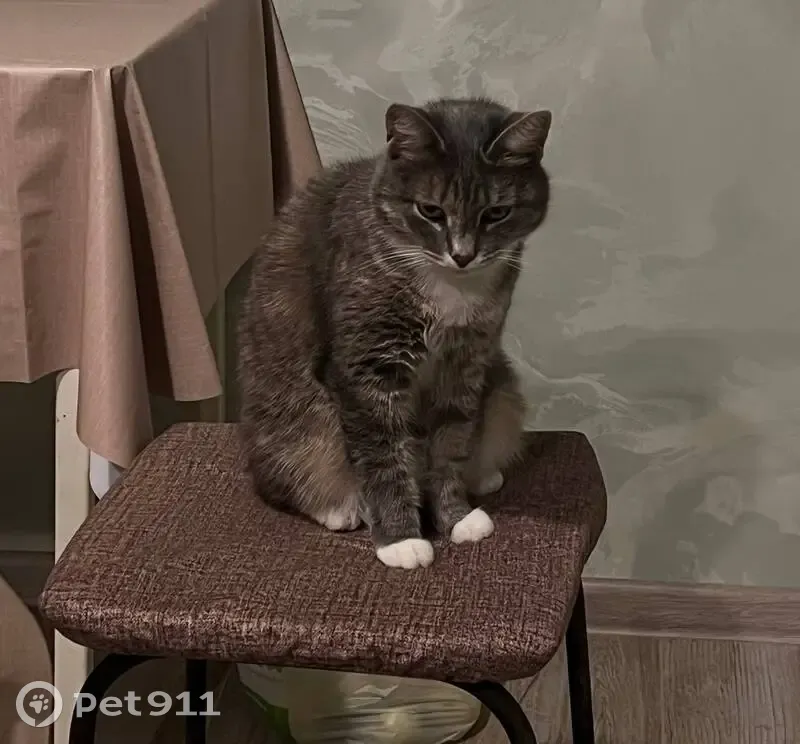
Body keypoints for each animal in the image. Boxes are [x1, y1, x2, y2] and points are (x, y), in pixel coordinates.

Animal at [238, 96, 551, 569]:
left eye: (497, 213)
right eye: (431, 211)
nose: (463, 255)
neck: (449, 287)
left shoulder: (467, 361)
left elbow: (452, 441)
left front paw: (456, 516)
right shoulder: (366, 368)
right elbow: (383, 454)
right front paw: (401, 539)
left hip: (502, 391)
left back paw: (481, 474)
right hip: (296, 427)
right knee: (287, 474)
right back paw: (340, 507)